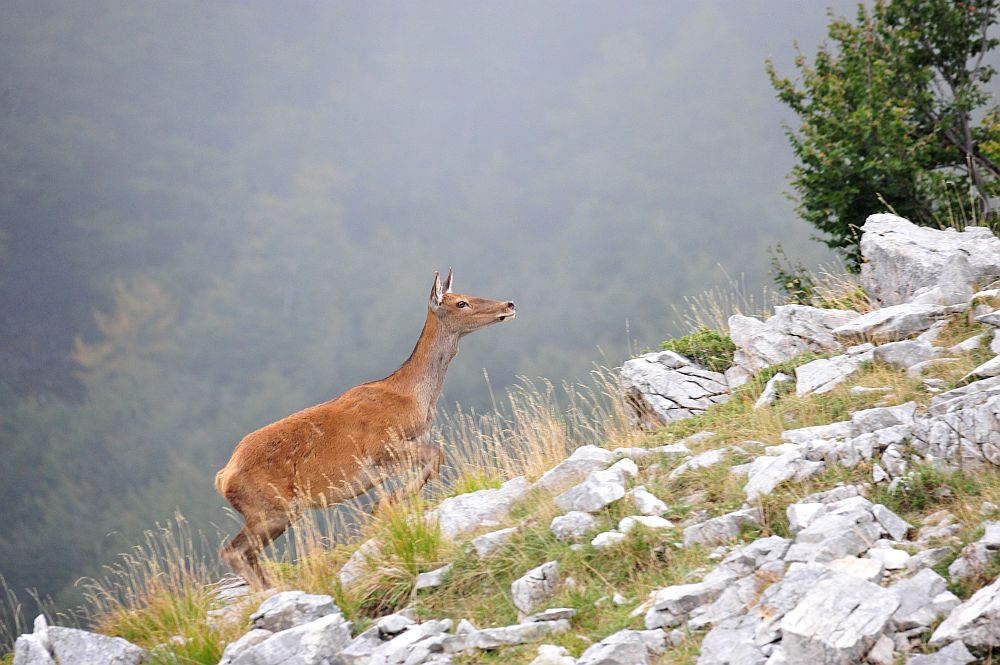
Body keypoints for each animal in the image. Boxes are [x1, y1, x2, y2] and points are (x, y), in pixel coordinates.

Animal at [216, 268, 520, 588]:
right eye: (461, 303)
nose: (509, 304)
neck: (413, 399)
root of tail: (223, 477)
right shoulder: (381, 447)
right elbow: (437, 455)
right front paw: (386, 504)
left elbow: (434, 459)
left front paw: (385, 505)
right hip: (271, 507)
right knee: (233, 551)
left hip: (272, 511)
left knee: (245, 553)